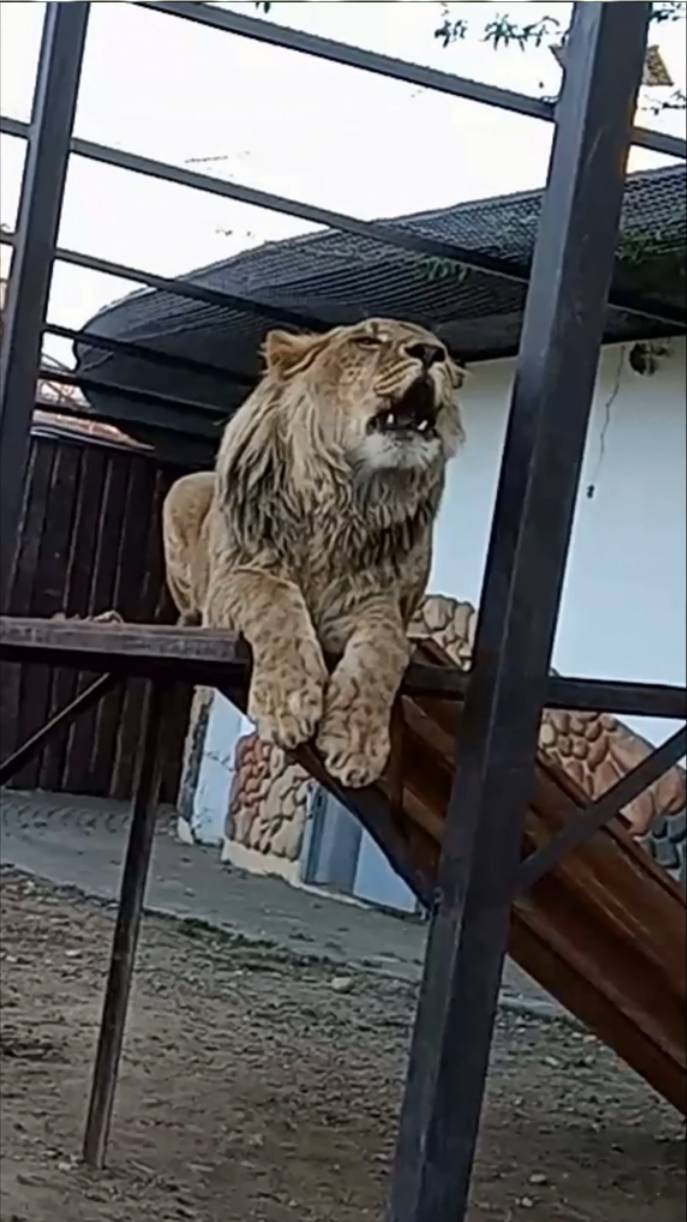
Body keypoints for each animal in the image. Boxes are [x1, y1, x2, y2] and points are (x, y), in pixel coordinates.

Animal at [162, 318, 465, 788]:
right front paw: (287, 705)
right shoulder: (236, 577)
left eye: (445, 355)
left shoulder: (372, 600)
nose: (431, 354)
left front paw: (357, 743)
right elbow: (273, 600)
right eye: (367, 340)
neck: (343, 502)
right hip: (184, 490)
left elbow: (385, 647)